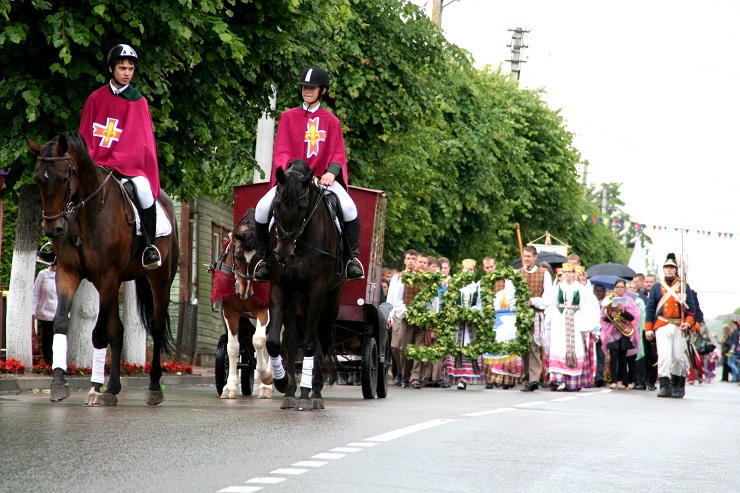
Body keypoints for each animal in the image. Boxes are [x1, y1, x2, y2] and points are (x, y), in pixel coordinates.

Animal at [29, 131, 181, 404]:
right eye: (37, 178)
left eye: (63, 177)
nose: (53, 229)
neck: (84, 215)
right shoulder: (68, 273)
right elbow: (61, 323)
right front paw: (59, 383)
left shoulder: (107, 277)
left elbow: (99, 333)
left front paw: (94, 388)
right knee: (118, 331)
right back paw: (112, 388)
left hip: (159, 282)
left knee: (155, 327)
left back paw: (153, 387)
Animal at [266, 160, 346, 410]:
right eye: (276, 205)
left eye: (302, 207)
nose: (282, 254)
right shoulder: (281, 287)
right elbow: (276, 342)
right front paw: (284, 384)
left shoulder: (317, 290)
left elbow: (310, 344)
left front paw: (306, 393)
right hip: (296, 298)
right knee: (294, 341)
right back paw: (293, 391)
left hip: (330, 300)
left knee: (320, 337)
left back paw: (315, 392)